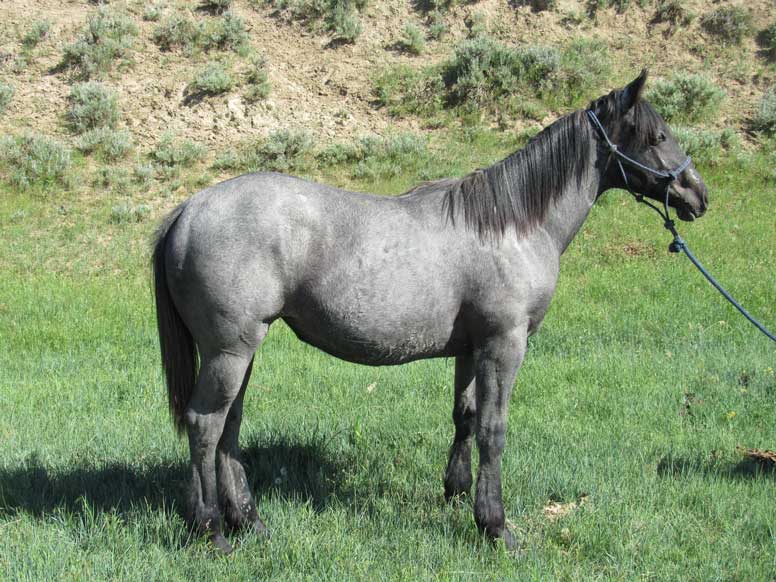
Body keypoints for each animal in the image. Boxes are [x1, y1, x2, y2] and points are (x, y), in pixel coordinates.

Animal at [152, 70, 708, 556]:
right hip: (229, 352)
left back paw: (250, 522)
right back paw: (212, 530)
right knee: (205, 426)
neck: (512, 223)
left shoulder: (471, 348)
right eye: (657, 135)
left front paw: (457, 493)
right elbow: (493, 431)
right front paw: (496, 526)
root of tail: (188, 211)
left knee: (228, 428)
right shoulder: (504, 344)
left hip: (241, 352)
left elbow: (465, 417)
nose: (697, 193)